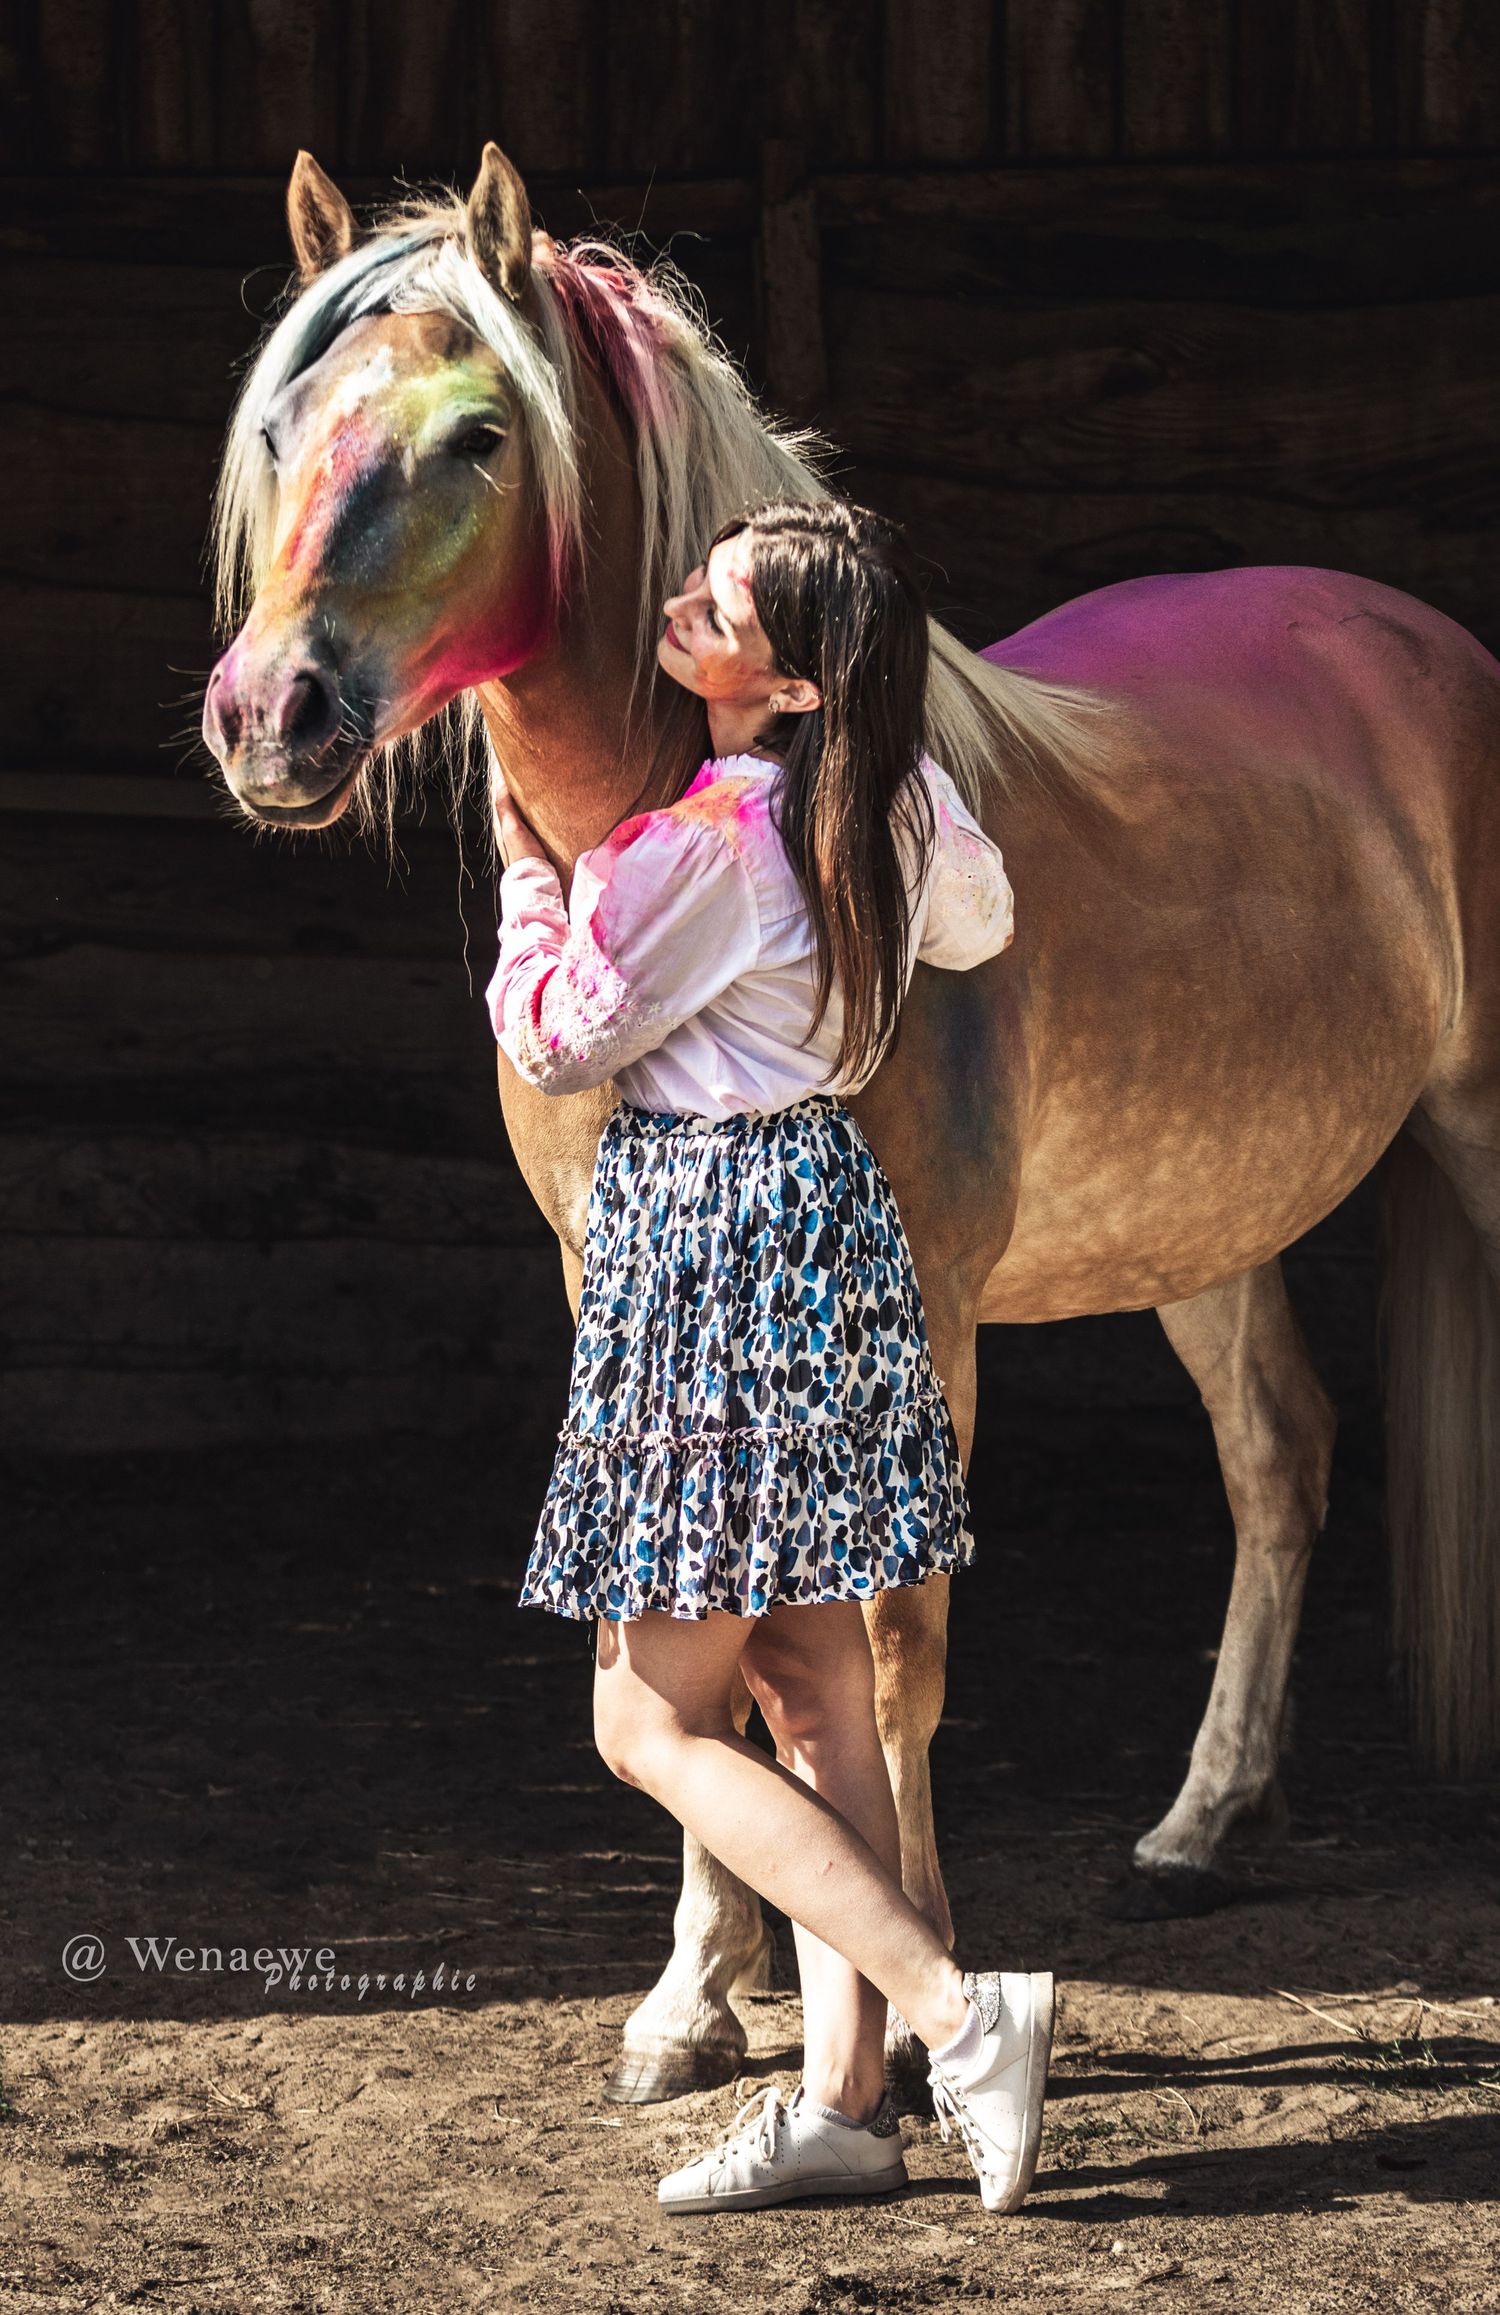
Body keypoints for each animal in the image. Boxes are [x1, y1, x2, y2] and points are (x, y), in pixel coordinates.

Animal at [201, 143, 1500, 2104]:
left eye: (480, 435)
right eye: (283, 426)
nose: (271, 716)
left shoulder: (925, 1314)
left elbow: (889, 1650)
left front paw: (903, 1988)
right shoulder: (622, 1300)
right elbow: (703, 1634)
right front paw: (696, 1996)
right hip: (1200, 1220)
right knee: (1280, 1453)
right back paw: (1199, 1829)